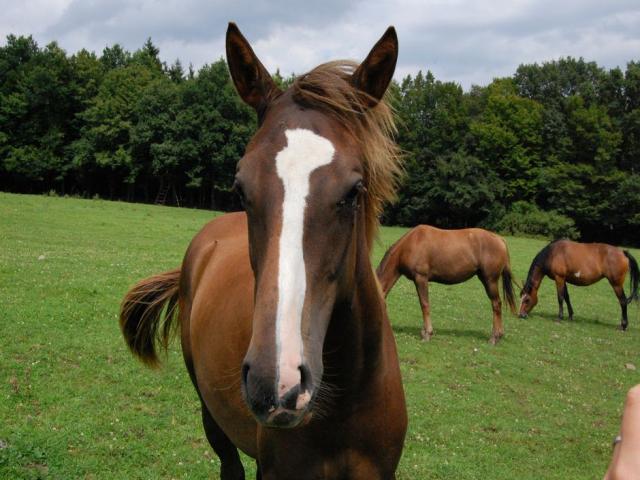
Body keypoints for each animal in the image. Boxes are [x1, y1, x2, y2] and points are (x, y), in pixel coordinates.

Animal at [378, 226, 516, 344]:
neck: (410, 245)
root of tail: (500, 239)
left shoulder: (421, 278)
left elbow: (424, 304)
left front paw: (427, 334)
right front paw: (424, 332)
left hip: (490, 280)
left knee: (496, 304)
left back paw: (494, 337)